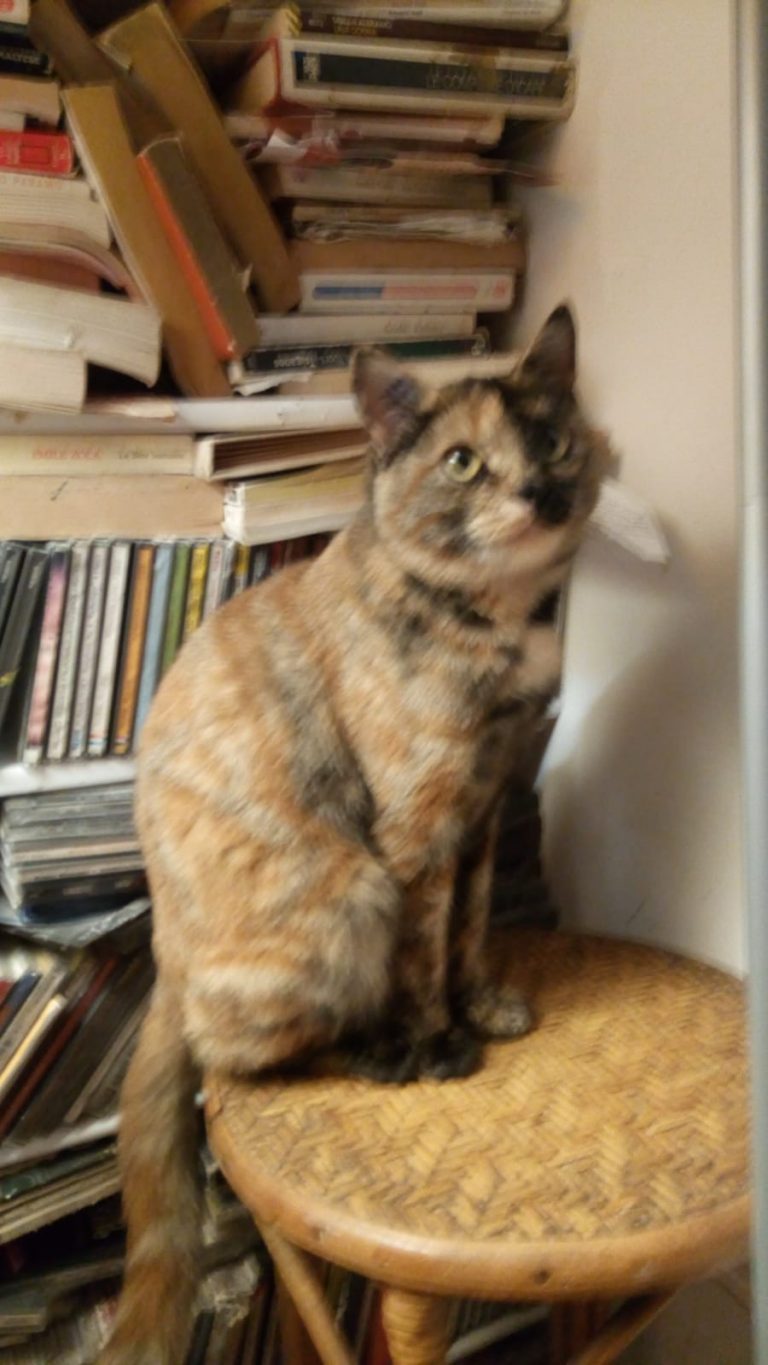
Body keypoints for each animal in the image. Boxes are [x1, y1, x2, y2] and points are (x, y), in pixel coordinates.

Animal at [100, 305, 608, 1365]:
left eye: (549, 439)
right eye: (462, 462)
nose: (538, 491)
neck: (499, 627)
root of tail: (164, 962)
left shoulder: (486, 808)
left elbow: (468, 931)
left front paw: (484, 1006)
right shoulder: (415, 833)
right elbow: (421, 959)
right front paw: (440, 1041)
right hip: (347, 893)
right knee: (241, 1063)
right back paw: (380, 1054)